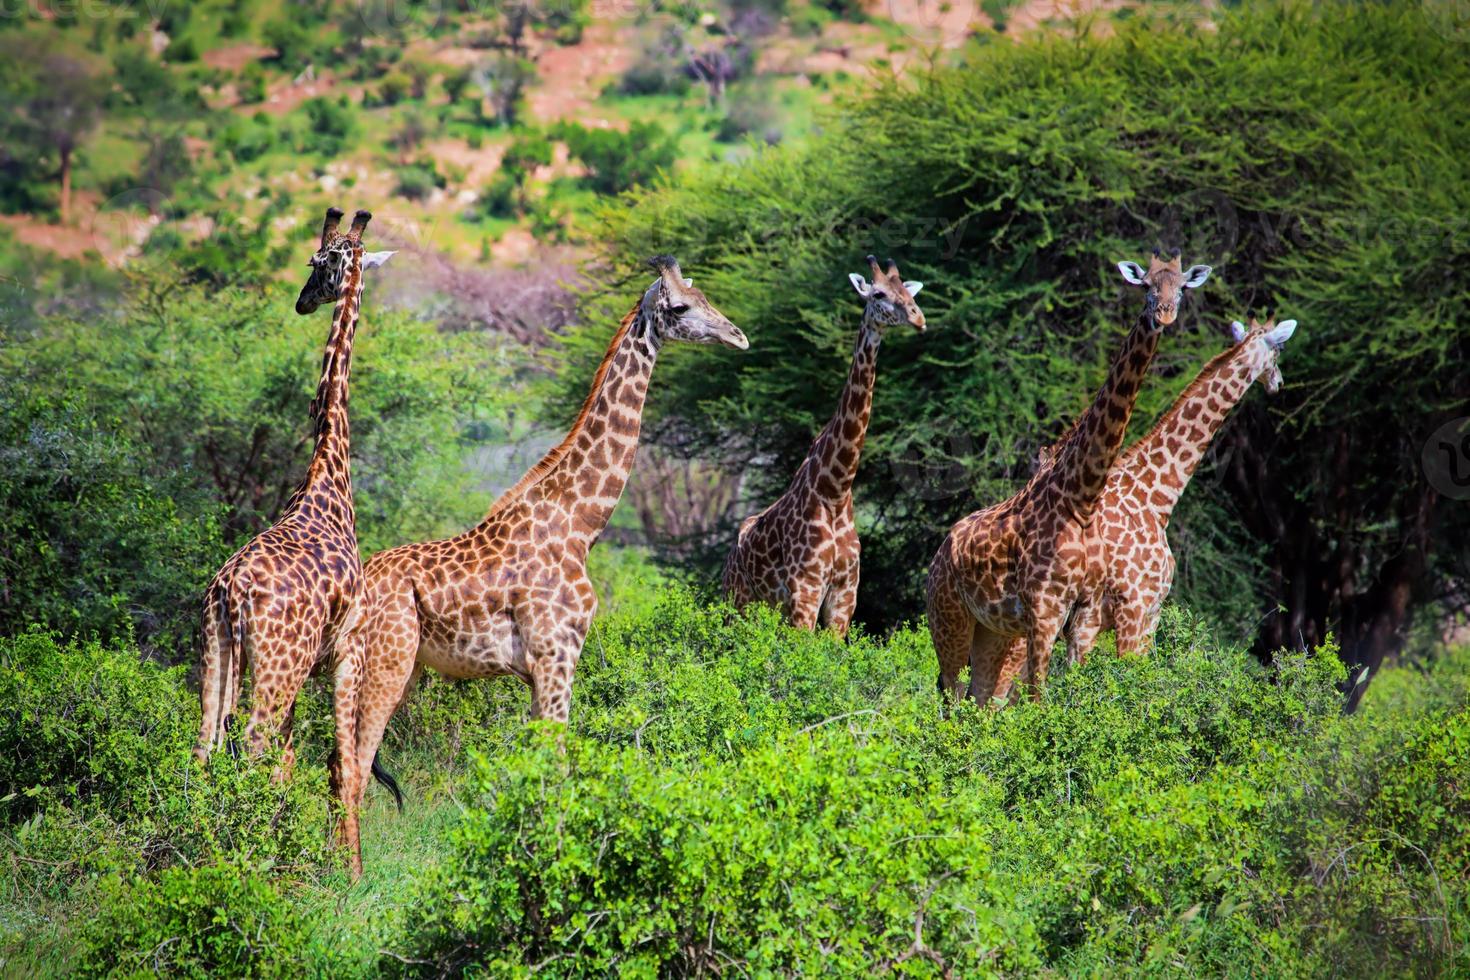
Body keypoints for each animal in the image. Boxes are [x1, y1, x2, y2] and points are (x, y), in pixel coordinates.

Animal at [195, 205, 393, 852]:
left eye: (320, 264)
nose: (303, 302)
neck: (328, 471)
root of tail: (232, 593)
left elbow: (301, 760)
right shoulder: (347, 645)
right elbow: (344, 761)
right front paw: (346, 866)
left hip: (218, 651)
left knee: (207, 744)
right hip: (280, 665)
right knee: (253, 745)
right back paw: (253, 852)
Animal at [333, 257, 746, 869]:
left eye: (704, 295)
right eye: (680, 307)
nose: (738, 336)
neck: (580, 524)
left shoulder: (538, 669)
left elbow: (533, 768)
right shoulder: (558, 654)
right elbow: (556, 767)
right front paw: (553, 869)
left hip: (387, 669)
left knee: (338, 762)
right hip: (387, 661)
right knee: (355, 767)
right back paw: (353, 876)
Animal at [720, 255, 923, 637]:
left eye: (909, 292)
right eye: (878, 293)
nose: (919, 319)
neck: (835, 490)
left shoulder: (845, 595)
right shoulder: (806, 589)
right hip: (737, 602)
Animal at [923, 249, 1211, 702]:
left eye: (1181, 288)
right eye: (1147, 286)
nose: (1163, 314)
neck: (1079, 498)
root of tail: (938, 554)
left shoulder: (1084, 613)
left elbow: (1073, 695)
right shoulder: (1045, 611)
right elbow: (1041, 700)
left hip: (992, 629)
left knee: (978, 697)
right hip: (948, 617)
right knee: (952, 694)